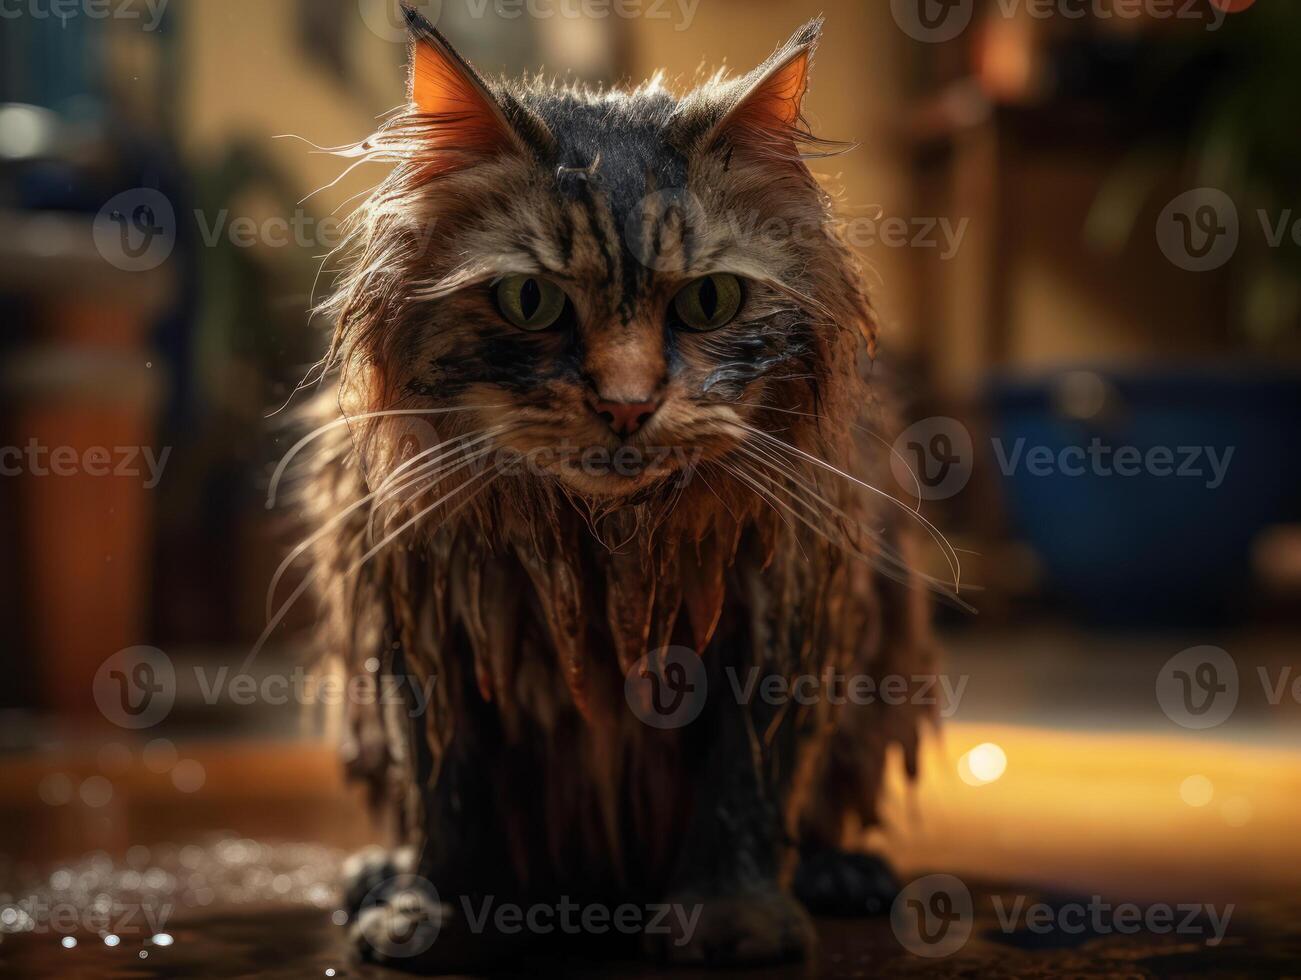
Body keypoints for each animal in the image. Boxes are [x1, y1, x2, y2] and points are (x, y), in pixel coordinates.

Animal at [297, 7, 936, 973]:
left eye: (710, 300)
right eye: (529, 300)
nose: (628, 405)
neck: (608, 546)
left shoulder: (777, 608)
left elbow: (744, 789)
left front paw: (732, 920)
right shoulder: (429, 614)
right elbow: (449, 801)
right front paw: (434, 914)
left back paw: (839, 873)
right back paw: (380, 873)